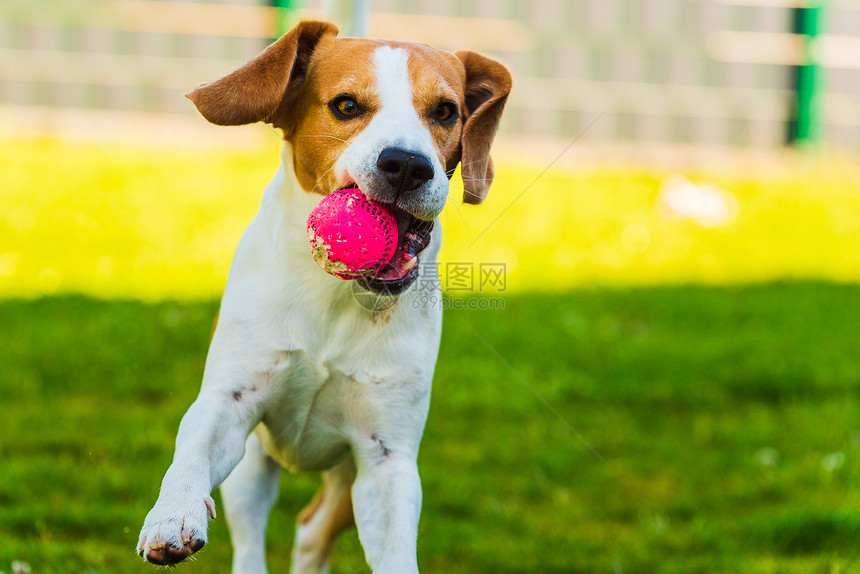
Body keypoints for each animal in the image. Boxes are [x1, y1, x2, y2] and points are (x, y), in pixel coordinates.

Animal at [135, 20, 510, 572]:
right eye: (346, 105)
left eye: (445, 111)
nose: (406, 164)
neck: (335, 296)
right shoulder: (230, 402)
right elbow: (193, 451)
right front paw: (172, 515)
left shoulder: (386, 458)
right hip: (254, 468)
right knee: (250, 534)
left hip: (345, 483)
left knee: (312, 532)